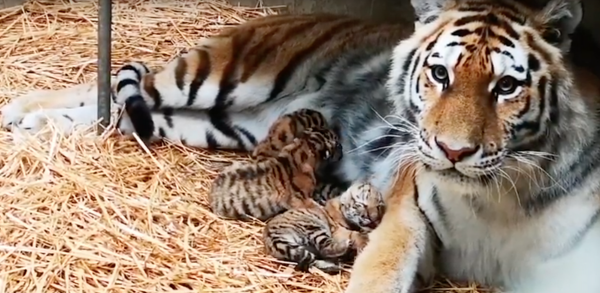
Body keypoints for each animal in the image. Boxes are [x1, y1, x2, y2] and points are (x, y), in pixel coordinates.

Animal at [3, 0, 600, 290]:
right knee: (123, 82)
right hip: (213, 77)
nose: (452, 151)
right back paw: (23, 108)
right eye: (439, 74)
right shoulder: (408, 214)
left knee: (122, 114)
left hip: (214, 123)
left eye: (507, 86)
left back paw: (36, 123)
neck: (504, 195)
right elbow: (380, 270)